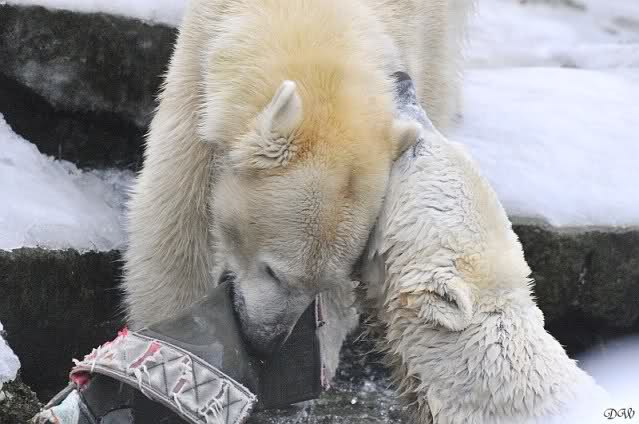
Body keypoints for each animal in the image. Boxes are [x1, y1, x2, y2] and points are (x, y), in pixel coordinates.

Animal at [123, 0, 469, 384]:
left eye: (321, 285)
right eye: (272, 271)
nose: (267, 343)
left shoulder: (425, 41)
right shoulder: (202, 50)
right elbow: (178, 198)